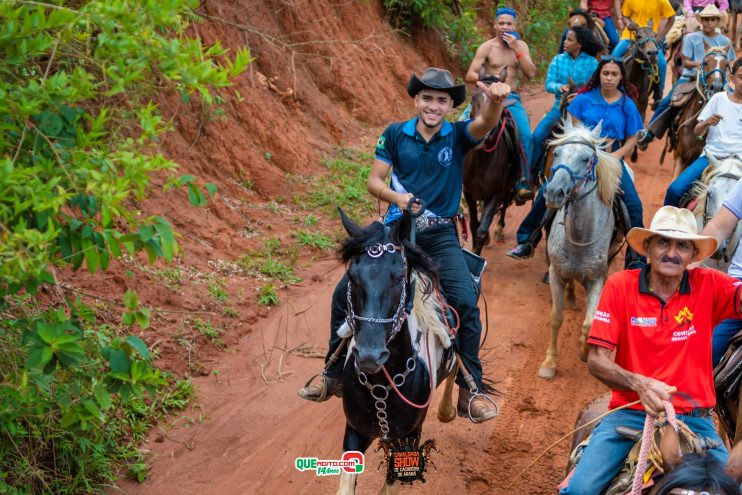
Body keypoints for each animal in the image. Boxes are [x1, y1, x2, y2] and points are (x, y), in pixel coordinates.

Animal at [336, 210, 454, 495]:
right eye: (352, 277)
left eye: (399, 277)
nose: (370, 356)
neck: (382, 385)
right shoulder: (354, 431)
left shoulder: (410, 436)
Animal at [464, 72, 524, 256]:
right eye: (473, 97)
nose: (480, 132)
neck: (482, 160)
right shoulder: (468, 192)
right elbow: (473, 225)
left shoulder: (495, 194)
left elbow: (481, 231)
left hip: (507, 186)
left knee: (504, 205)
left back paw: (498, 229)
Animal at [536, 120, 624, 380]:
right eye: (557, 153)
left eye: (586, 159)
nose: (554, 192)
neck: (578, 236)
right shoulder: (555, 273)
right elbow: (556, 317)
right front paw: (549, 363)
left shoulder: (597, 279)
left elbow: (590, 323)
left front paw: (585, 352)